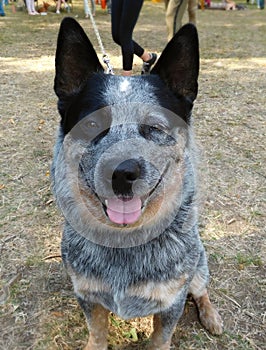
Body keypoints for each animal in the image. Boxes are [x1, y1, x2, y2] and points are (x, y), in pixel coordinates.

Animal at [52, 18, 222, 350]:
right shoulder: (87, 296)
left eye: (154, 127)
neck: (125, 242)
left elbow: (160, 338)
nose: (120, 172)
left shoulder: (171, 302)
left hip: (198, 266)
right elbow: (96, 333)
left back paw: (211, 316)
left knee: (201, 289)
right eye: (92, 124)